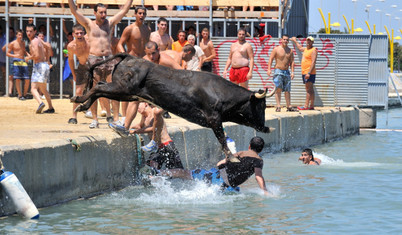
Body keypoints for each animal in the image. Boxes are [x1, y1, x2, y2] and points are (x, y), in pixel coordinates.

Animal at [70, 53, 274, 160]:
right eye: (261, 105)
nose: (264, 126)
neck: (220, 91)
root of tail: (128, 56)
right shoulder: (213, 118)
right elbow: (222, 139)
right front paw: (231, 157)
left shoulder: (225, 116)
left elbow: (232, 131)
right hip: (122, 88)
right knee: (97, 87)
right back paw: (78, 100)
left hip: (125, 92)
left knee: (99, 87)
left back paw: (82, 104)